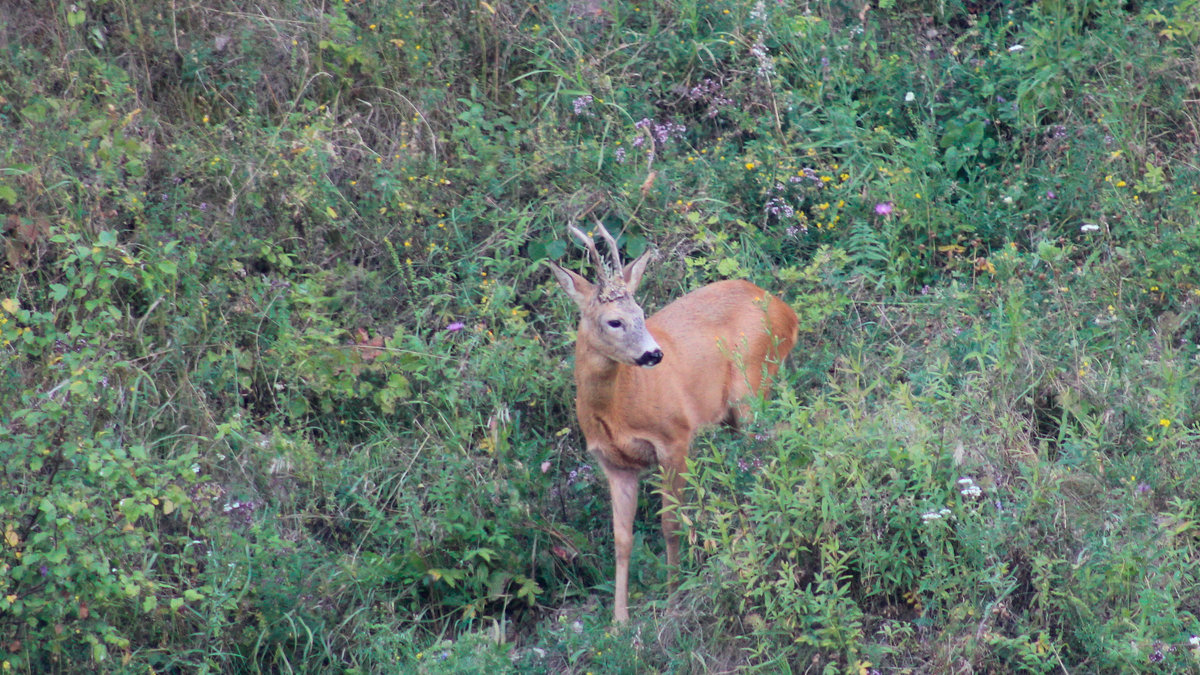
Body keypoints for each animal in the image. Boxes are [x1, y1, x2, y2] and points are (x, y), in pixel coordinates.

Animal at [549, 222, 796, 619]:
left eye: (641, 312)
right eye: (614, 321)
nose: (654, 354)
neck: (617, 410)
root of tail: (787, 311)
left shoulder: (675, 438)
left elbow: (671, 523)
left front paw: (673, 595)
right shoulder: (614, 464)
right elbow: (622, 539)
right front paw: (619, 619)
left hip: (753, 384)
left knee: (773, 446)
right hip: (736, 413)